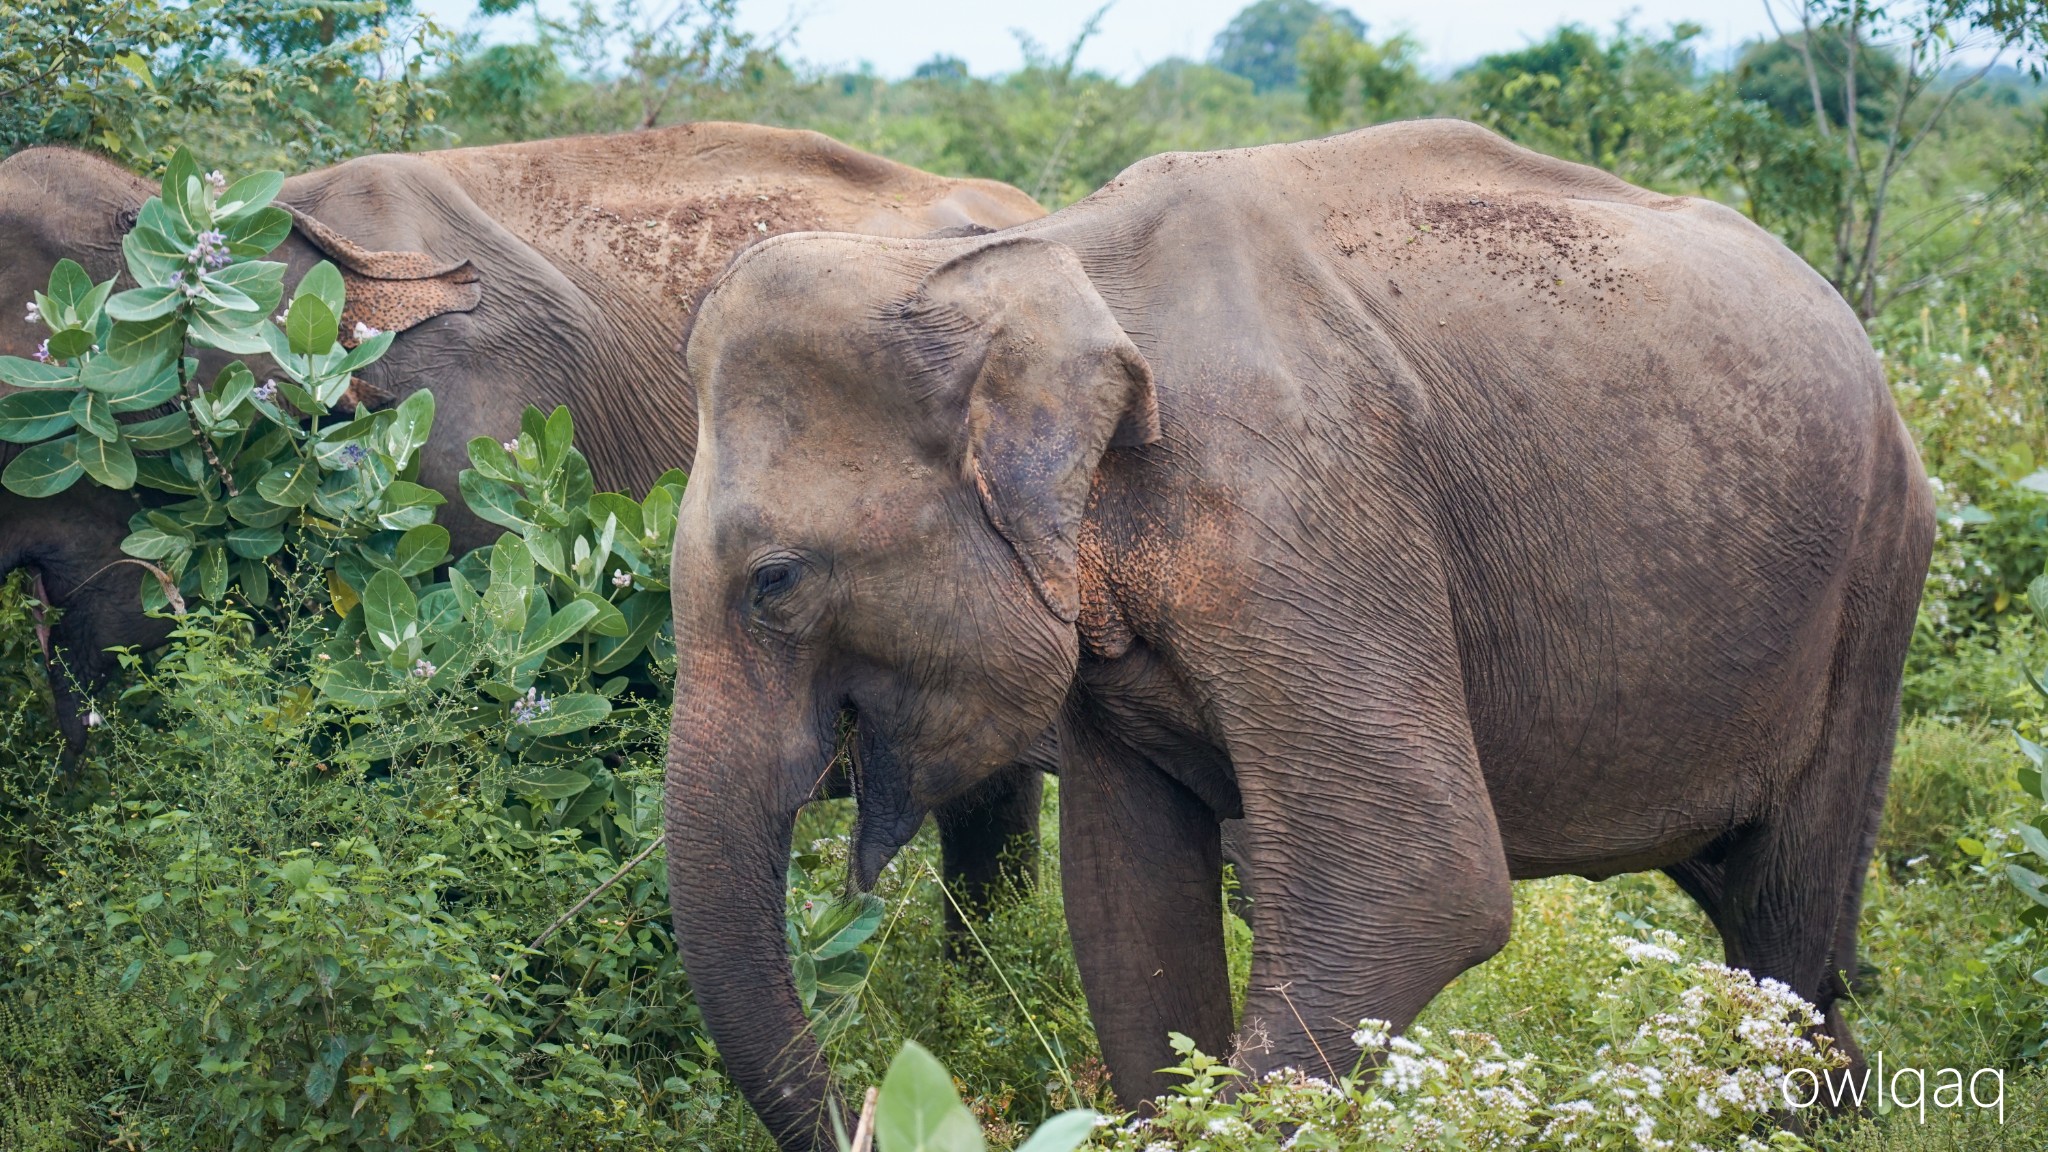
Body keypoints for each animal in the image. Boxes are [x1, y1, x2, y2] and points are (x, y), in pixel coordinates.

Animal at [659, 120, 1933, 1139]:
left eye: (775, 581)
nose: (868, 1107)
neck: (1034, 261)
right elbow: (1124, 902)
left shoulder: (1305, 511)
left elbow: (1415, 879)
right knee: (1742, 898)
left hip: (1875, 573)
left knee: (1783, 913)